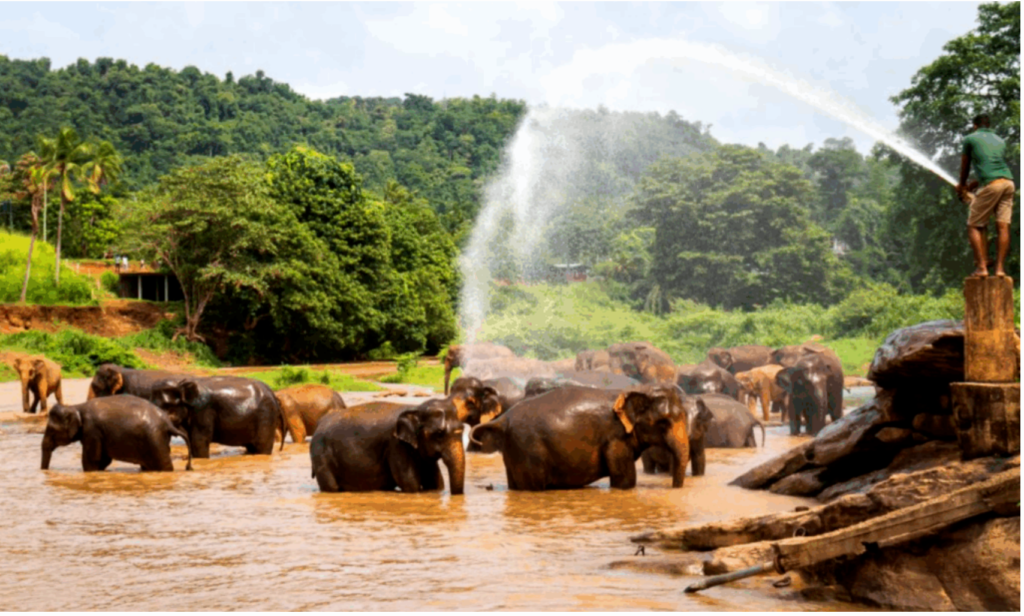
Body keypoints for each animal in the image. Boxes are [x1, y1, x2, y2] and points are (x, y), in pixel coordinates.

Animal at [41, 396, 193, 472]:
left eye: (52, 430)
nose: (45, 471)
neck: (76, 406)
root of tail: (168, 423)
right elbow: (103, 460)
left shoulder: (92, 430)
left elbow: (92, 460)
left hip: (155, 440)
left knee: (164, 465)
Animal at [151, 376, 285, 458]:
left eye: (166, 407)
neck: (180, 384)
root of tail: (274, 395)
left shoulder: (203, 411)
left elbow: (199, 441)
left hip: (266, 416)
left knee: (262, 448)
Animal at [309, 399, 465, 494]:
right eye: (439, 434)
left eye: (462, 429)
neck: (416, 408)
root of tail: (319, 424)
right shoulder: (396, 445)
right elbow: (409, 483)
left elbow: (436, 483)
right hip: (321, 455)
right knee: (331, 487)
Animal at [469, 384, 692, 490]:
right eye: (664, 423)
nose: (674, 489)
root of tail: (503, 419)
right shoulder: (616, 438)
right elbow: (625, 480)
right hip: (528, 449)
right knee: (532, 487)